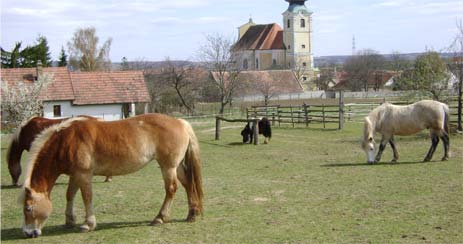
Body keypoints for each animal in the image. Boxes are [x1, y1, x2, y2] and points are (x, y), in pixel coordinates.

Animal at [18, 115, 203, 238]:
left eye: (28, 208)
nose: (28, 233)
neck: (66, 141)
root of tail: (180, 122)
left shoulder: (84, 175)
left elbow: (86, 197)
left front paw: (88, 224)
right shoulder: (75, 175)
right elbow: (69, 195)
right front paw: (69, 221)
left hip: (168, 167)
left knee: (171, 189)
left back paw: (160, 218)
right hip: (176, 167)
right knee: (188, 184)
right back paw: (191, 214)